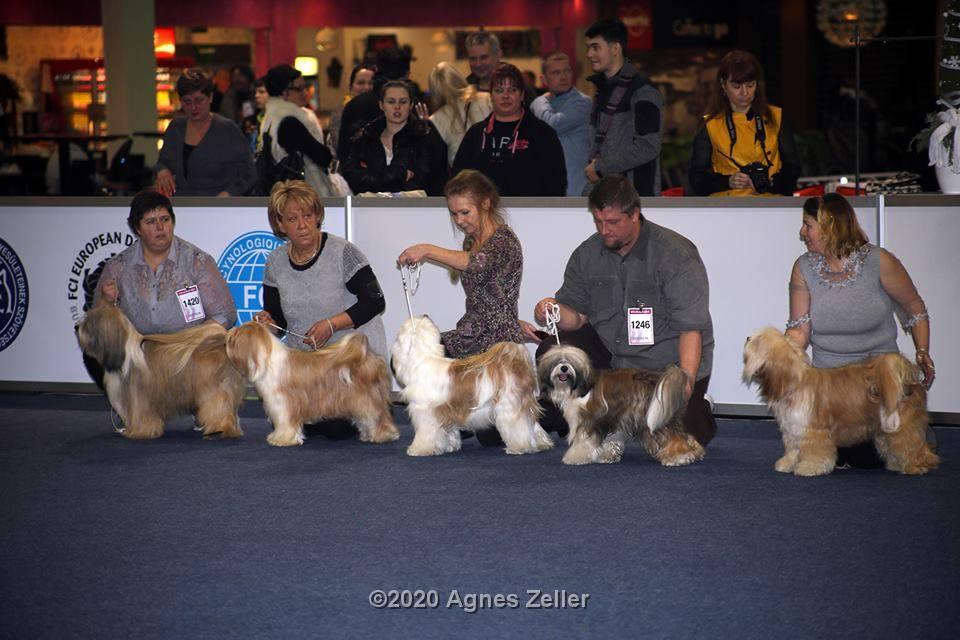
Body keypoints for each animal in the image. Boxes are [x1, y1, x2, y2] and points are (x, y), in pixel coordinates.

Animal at [76, 304, 246, 440]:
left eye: (89, 323)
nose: (76, 327)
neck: (123, 354)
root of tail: (221, 344)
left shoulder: (139, 397)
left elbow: (141, 416)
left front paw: (140, 432)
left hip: (212, 391)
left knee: (219, 408)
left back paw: (219, 430)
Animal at [225, 324, 398, 444]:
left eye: (235, 338)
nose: (228, 335)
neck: (266, 359)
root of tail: (368, 357)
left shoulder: (284, 404)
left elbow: (285, 423)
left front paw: (282, 439)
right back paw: (367, 435)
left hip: (367, 399)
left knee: (378, 416)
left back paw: (384, 435)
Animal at [392, 316, 556, 456]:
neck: (423, 359)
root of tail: (515, 362)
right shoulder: (448, 412)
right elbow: (449, 432)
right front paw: (449, 446)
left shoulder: (426, 412)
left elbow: (426, 433)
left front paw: (419, 449)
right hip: (525, 403)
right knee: (533, 424)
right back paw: (542, 444)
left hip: (509, 406)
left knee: (519, 426)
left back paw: (519, 447)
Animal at [540, 344, 704, 464]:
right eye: (557, 361)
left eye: (569, 362)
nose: (564, 368)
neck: (580, 387)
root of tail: (658, 378)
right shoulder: (614, 416)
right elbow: (611, 439)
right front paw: (607, 456)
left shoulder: (590, 419)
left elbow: (583, 440)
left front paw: (575, 457)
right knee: (682, 433)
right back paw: (695, 451)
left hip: (655, 417)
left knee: (672, 435)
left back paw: (679, 456)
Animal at [744, 328, 936, 472]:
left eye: (758, 341)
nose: (747, 337)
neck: (794, 382)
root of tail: (909, 380)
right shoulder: (793, 428)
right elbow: (792, 448)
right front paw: (786, 464)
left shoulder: (814, 430)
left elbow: (815, 451)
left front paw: (809, 467)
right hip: (884, 429)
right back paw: (896, 464)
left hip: (902, 425)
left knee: (913, 444)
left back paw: (919, 464)